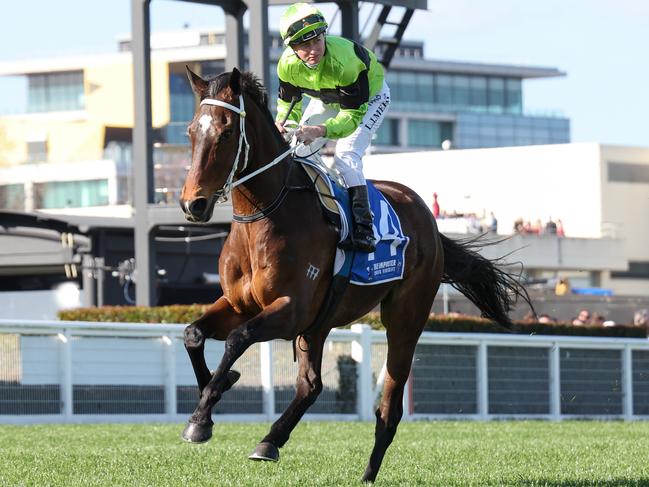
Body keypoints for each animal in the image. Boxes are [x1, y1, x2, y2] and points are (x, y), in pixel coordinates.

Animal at [178, 67, 532, 484]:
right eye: (190, 131)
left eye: (227, 131)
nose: (193, 204)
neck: (266, 215)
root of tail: (428, 219)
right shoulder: (239, 303)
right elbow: (194, 334)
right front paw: (214, 392)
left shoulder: (290, 310)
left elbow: (238, 338)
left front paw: (201, 416)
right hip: (320, 323)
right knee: (311, 385)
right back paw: (270, 441)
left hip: (405, 317)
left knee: (389, 407)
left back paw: (366, 472)